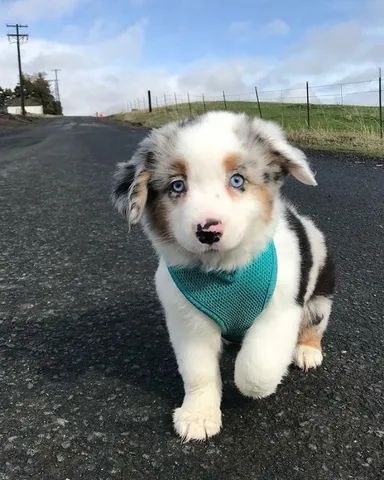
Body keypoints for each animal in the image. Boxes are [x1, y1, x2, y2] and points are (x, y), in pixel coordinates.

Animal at [112, 110, 334, 440]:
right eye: (177, 186)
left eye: (237, 180)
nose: (208, 231)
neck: (223, 270)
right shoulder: (188, 320)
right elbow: (198, 371)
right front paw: (198, 416)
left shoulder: (280, 309)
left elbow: (257, 367)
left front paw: (253, 386)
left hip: (321, 291)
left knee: (316, 323)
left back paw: (307, 351)